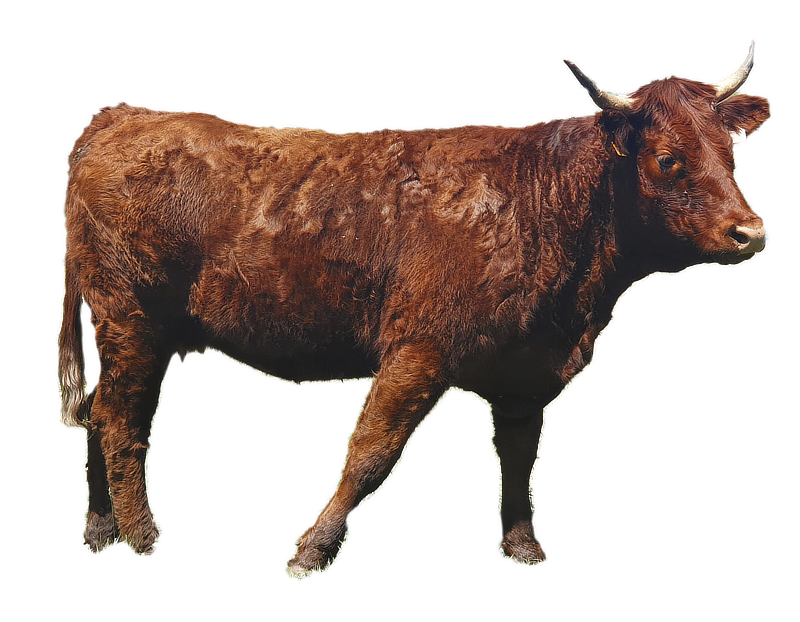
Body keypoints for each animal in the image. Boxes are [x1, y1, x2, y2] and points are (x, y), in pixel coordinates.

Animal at [56, 38, 771, 582]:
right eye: (668, 158)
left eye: (729, 150)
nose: (752, 232)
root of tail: (126, 114)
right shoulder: (419, 350)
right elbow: (371, 451)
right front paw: (310, 552)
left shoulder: (528, 370)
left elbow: (517, 452)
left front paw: (522, 545)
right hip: (131, 318)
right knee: (123, 422)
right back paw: (141, 536)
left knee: (101, 412)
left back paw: (99, 530)